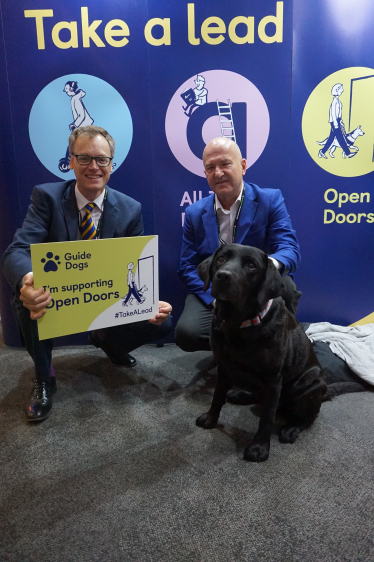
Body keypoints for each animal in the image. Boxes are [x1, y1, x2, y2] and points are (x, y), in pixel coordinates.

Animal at [196, 243, 328, 462]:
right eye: (221, 259)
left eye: (251, 265)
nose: (223, 276)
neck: (237, 324)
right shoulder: (223, 367)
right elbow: (217, 396)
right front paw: (210, 418)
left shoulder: (273, 379)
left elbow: (267, 417)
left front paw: (259, 447)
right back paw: (240, 394)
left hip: (310, 386)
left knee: (308, 418)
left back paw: (291, 429)